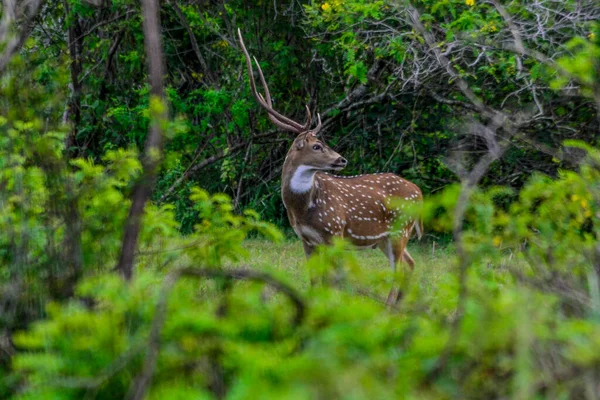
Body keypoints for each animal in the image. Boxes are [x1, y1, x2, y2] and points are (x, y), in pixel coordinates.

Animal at [237, 29, 424, 304]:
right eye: (317, 146)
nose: (341, 159)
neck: (303, 208)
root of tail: (419, 193)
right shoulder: (306, 239)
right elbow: (315, 280)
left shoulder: (335, 231)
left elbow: (334, 280)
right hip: (386, 237)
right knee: (410, 264)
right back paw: (400, 306)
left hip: (401, 229)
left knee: (399, 267)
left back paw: (389, 306)